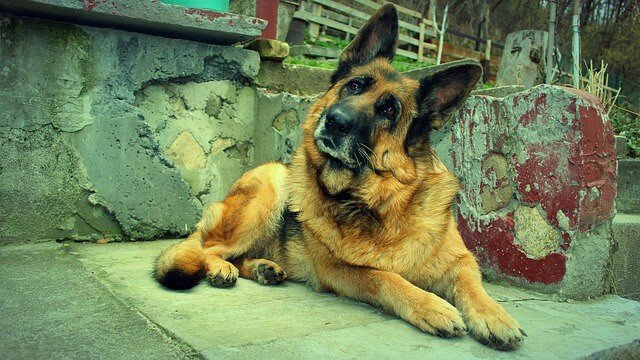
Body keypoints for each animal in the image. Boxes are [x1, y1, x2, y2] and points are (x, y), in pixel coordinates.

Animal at [155, 4, 524, 350]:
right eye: (354, 86)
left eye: (389, 110)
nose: (335, 121)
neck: (379, 204)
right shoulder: (338, 270)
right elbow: (385, 278)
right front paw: (431, 306)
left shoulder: (461, 260)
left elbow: (472, 284)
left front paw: (494, 316)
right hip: (269, 188)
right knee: (205, 247)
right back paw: (221, 267)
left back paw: (262, 268)